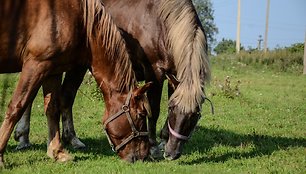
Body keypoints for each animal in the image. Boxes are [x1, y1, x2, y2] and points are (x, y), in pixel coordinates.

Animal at [0, 0, 152, 166]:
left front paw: (57, 152)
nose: (144, 155)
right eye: (141, 114)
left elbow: (52, 108)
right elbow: (16, 107)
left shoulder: (52, 69)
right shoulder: (36, 65)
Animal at [13, 0, 210, 160]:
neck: (161, 24)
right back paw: (23, 137)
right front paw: (154, 146)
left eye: (195, 116)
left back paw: (72, 139)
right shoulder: (154, 72)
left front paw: (164, 139)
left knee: (66, 97)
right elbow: (153, 109)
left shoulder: (174, 75)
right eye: (172, 110)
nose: (172, 154)